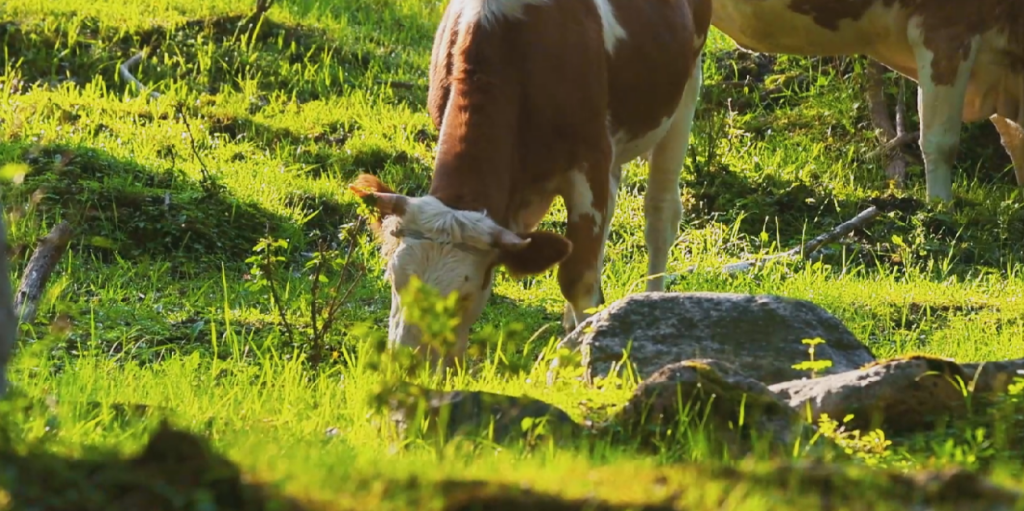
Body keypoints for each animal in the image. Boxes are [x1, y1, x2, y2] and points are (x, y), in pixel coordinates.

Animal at [349, 0, 711, 369]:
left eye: (464, 295)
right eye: (394, 280)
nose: (408, 365)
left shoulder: (590, 162)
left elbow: (578, 278)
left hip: (685, 87)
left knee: (660, 213)